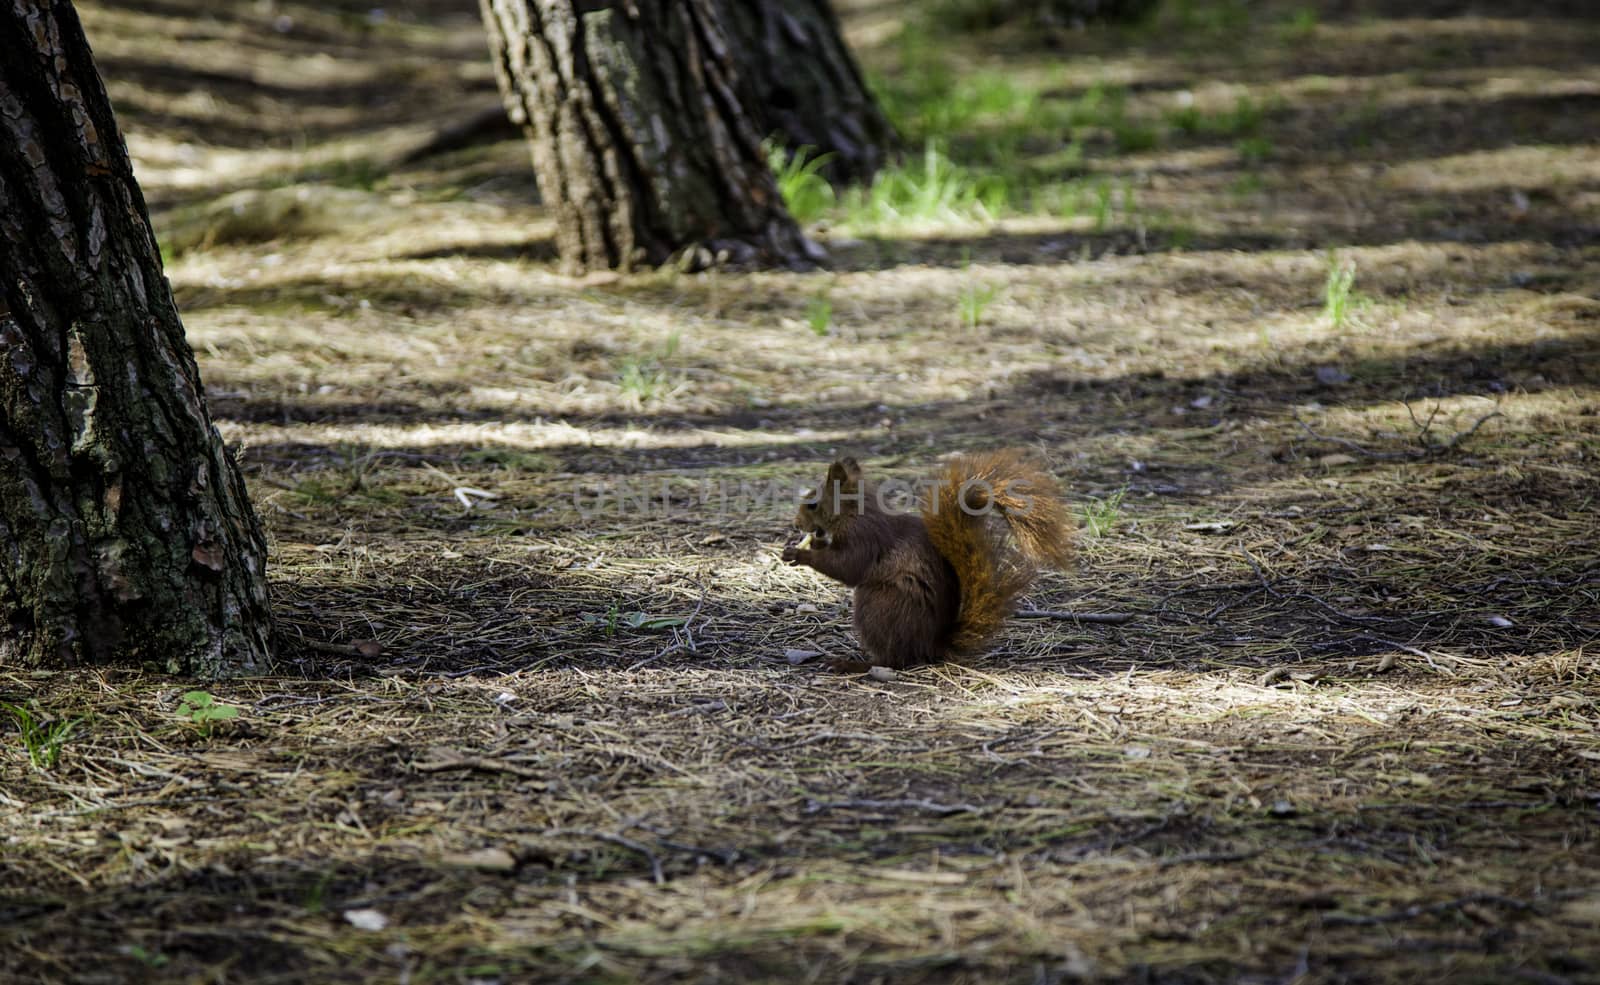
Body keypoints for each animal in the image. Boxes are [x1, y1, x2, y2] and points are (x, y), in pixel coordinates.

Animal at [777, 450, 1068, 668]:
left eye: (813, 504)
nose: (795, 524)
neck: (854, 513)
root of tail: (931, 644)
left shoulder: (866, 537)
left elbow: (848, 567)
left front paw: (800, 553)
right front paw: (813, 542)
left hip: (879, 606)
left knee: (892, 661)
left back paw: (853, 664)